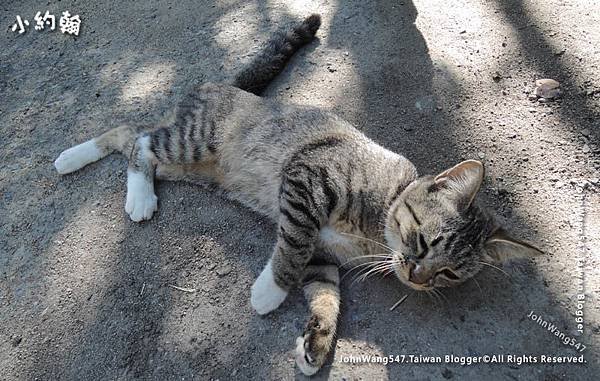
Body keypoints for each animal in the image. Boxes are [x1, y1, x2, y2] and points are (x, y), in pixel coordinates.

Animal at [55, 14, 544, 374]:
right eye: (425, 242)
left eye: (450, 274)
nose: (418, 278)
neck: (375, 230)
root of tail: (228, 86)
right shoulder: (305, 178)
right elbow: (291, 248)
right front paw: (268, 291)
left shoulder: (323, 258)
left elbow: (326, 294)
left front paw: (317, 343)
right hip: (194, 142)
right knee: (137, 139)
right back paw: (98, 173)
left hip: (192, 168)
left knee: (132, 139)